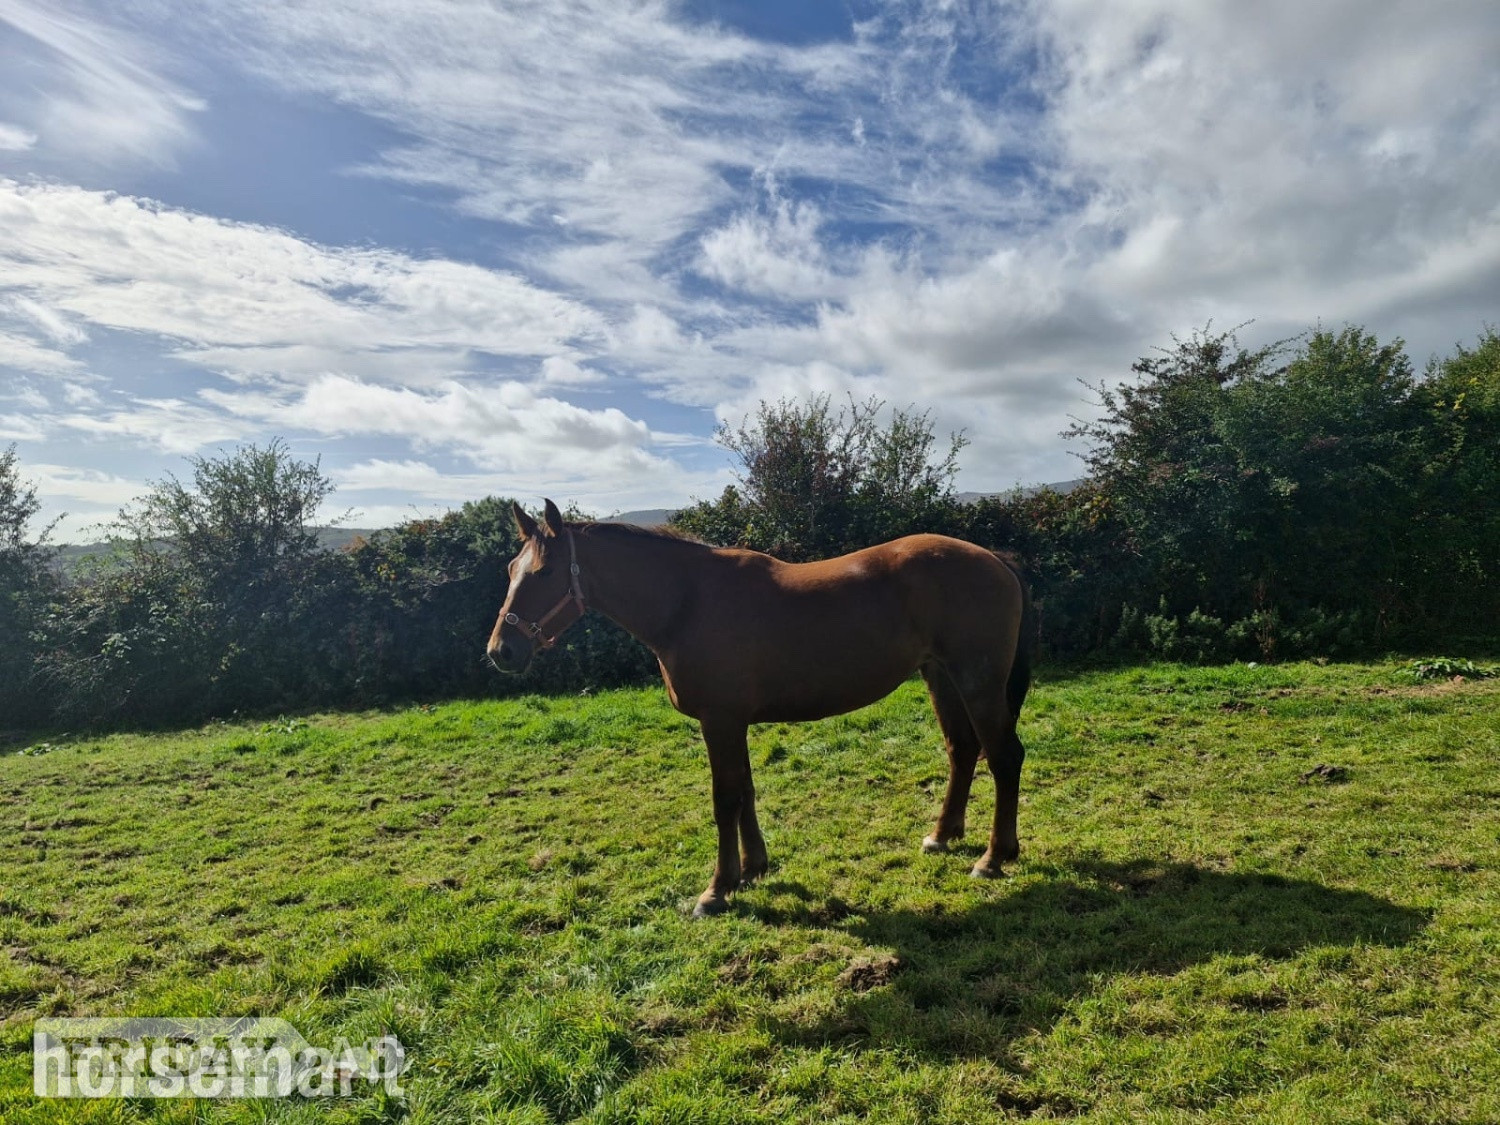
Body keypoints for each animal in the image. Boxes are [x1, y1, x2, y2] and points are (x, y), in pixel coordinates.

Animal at [487, 499, 1033, 918]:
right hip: (941, 677)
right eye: (511, 571)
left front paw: (717, 889)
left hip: (977, 681)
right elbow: (746, 791)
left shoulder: (720, 721)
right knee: (963, 750)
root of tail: (996, 559)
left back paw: (994, 858)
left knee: (1004, 757)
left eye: (543, 572)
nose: (501, 651)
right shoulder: (733, 723)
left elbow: (725, 798)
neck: (687, 602)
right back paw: (943, 835)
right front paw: (753, 869)